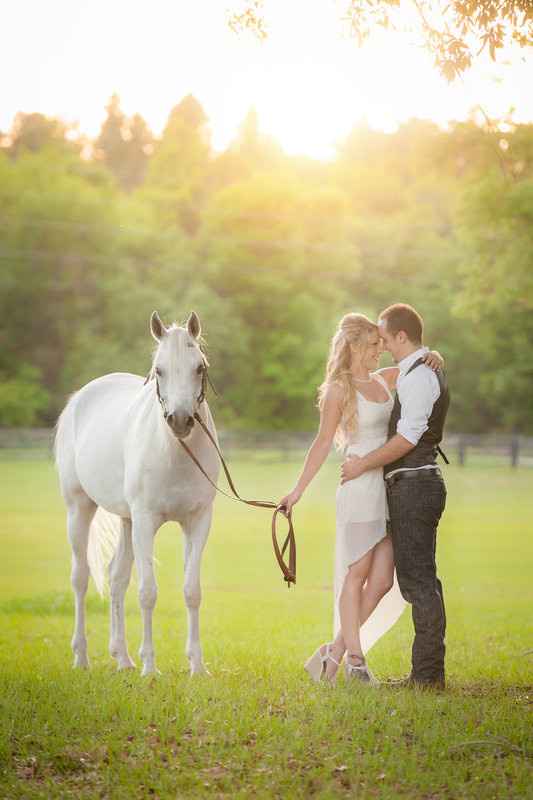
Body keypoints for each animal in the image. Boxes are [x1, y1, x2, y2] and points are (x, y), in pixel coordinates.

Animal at [54, 310, 220, 676]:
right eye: (159, 370)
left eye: (199, 368)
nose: (180, 421)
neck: (175, 453)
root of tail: (79, 399)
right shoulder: (146, 521)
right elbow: (147, 593)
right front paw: (150, 668)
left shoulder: (198, 521)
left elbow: (193, 591)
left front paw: (197, 667)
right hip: (79, 509)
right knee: (80, 578)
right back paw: (82, 657)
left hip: (126, 520)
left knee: (116, 577)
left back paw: (122, 658)